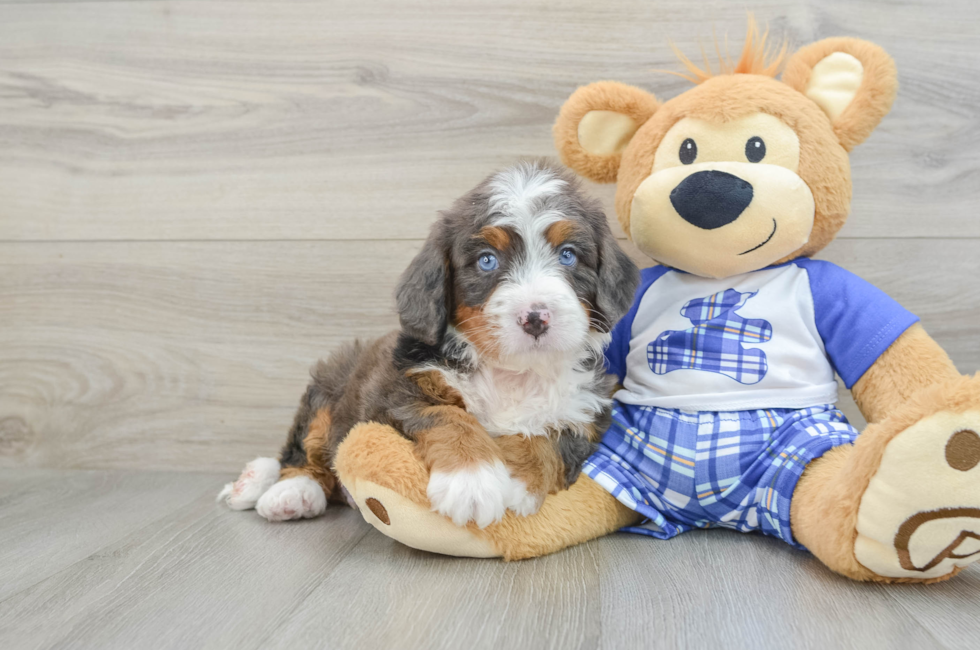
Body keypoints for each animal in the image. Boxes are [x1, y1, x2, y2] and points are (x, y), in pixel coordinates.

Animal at [218, 161, 640, 528]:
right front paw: (473, 481)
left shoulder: (588, 413)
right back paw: (286, 490)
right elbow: (448, 416)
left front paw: (517, 482)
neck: (513, 371)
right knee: (303, 448)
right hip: (329, 385)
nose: (535, 317)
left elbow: (551, 438)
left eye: (568, 255)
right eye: (487, 261)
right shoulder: (394, 391)